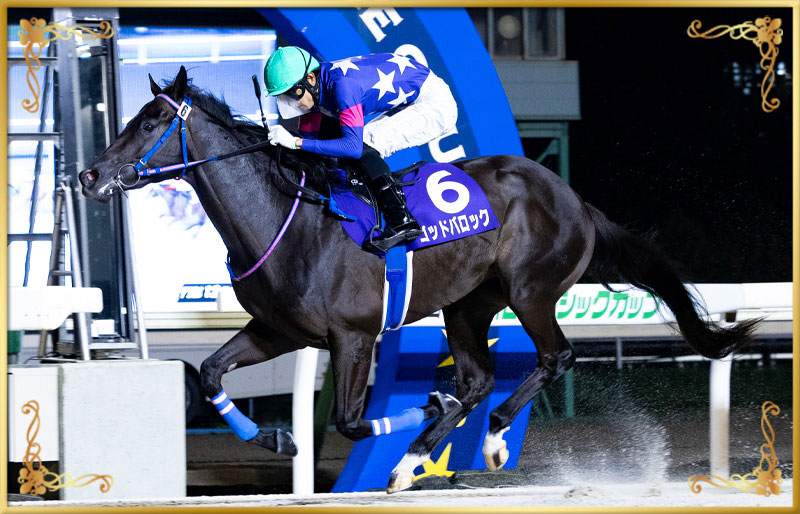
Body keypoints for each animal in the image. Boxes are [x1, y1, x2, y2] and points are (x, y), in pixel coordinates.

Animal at [79, 67, 758, 493]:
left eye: (149, 121)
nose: (89, 175)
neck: (284, 218)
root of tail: (572, 198)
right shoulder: (280, 329)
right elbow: (212, 372)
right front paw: (275, 439)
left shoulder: (352, 336)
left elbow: (353, 422)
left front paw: (428, 406)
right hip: (468, 305)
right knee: (479, 376)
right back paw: (420, 460)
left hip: (530, 291)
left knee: (553, 357)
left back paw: (488, 440)